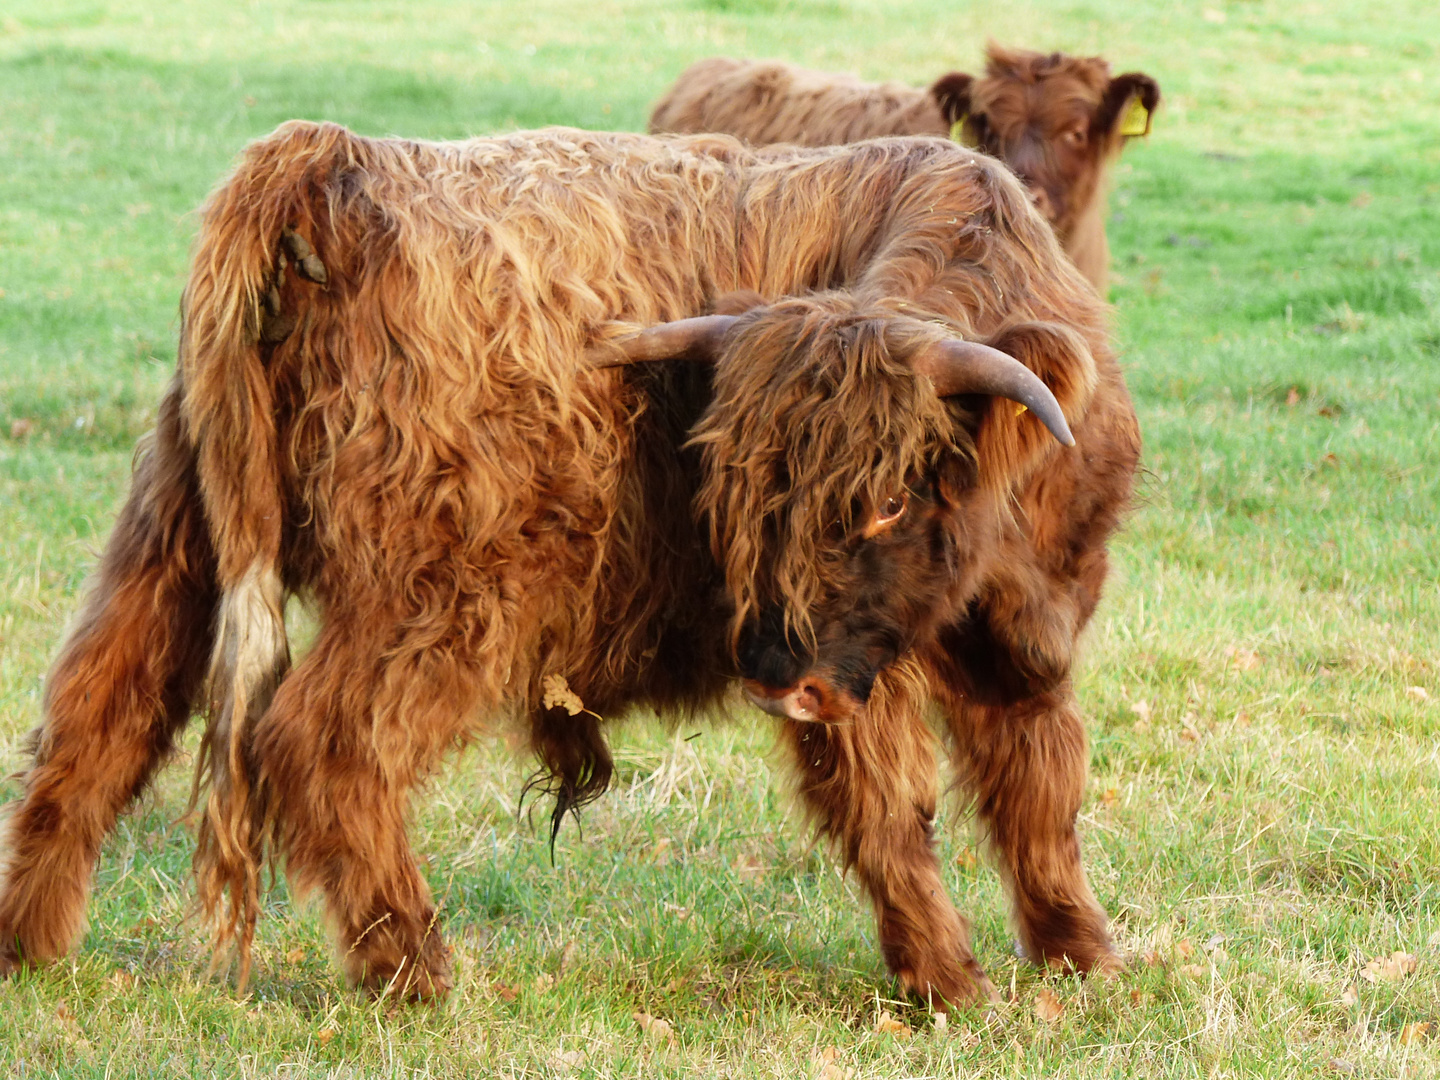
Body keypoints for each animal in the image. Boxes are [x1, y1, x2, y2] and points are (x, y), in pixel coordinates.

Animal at [0, 122, 1140, 1013]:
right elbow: (895, 808)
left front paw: (1078, 952)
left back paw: (29, 943)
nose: (779, 680)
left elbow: (1041, 785)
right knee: (320, 743)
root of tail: (335, 162)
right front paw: (951, 981)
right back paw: (417, 968)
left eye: (892, 500)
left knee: (95, 718)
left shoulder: (1019, 639)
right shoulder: (869, 669)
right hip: (439, 597)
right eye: (734, 503)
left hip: (174, 539)